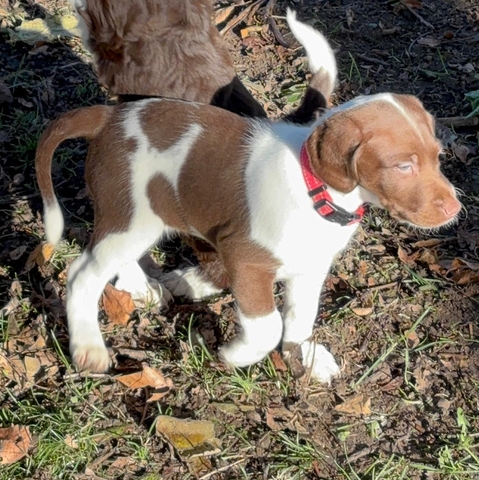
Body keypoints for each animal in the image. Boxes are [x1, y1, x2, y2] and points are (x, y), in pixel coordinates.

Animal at [35, 12, 461, 380]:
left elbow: (300, 318)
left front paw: (304, 356)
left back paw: (140, 287)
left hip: (139, 220)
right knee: (83, 274)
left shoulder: (309, 270)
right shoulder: (247, 262)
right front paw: (236, 354)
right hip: (132, 216)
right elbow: (268, 325)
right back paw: (89, 347)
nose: (455, 208)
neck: (314, 192)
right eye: (402, 167)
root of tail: (109, 118)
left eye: (438, 157)